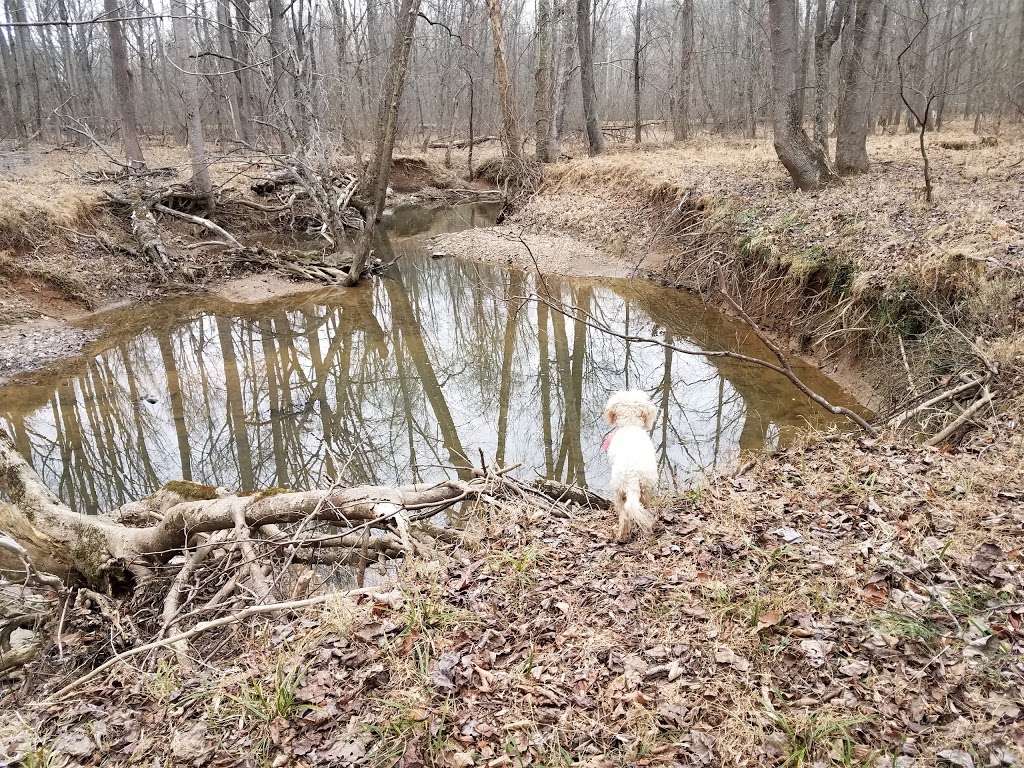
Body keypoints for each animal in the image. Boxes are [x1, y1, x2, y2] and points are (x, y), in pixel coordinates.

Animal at [602, 391, 659, 540]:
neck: (630, 425)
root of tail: (632, 475)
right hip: (644, 489)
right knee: (639, 509)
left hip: (619, 492)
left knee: (625, 515)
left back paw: (621, 534)